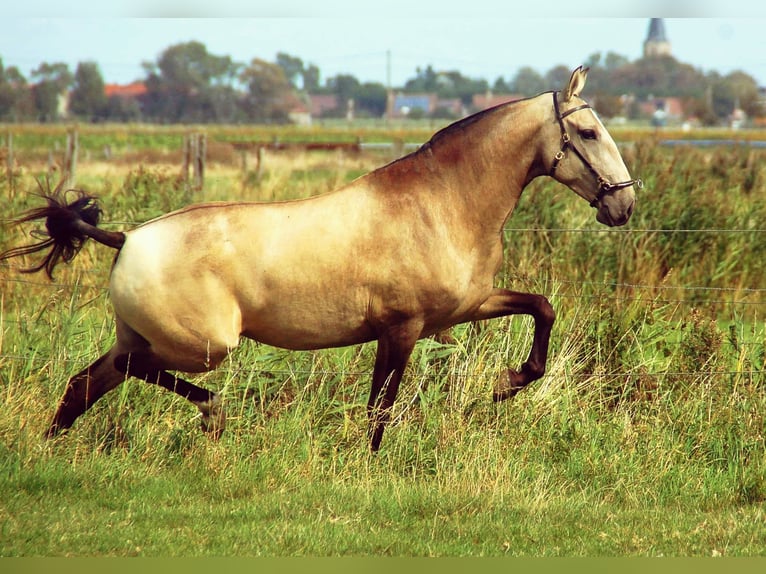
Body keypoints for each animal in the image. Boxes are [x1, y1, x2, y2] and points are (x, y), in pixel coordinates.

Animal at [1, 67, 640, 452]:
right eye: (587, 131)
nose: (624, 204)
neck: (443, 204)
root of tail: (128, 239)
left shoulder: (463, 308)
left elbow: (543, 307)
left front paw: (508, 384)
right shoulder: (402, 328)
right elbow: (379, 408)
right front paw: (371, 468)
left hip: (145, 338)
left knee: (85, 384)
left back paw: (52, 450)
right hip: (204, 346)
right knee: (136, 372)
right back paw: (214, 413)